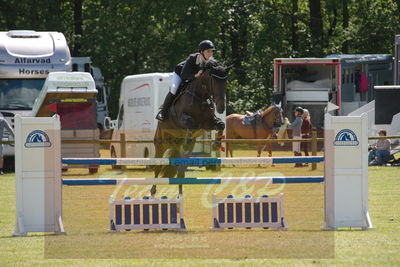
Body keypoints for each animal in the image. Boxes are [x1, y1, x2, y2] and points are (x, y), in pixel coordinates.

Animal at [151, 61, 228, 198]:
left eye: (226, 83)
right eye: (213, 81)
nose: (221, 108)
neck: (201, 97)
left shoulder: (208, 123)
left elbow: (221, 124)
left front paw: (216, 145)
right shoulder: (182, 118)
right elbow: (190, 123)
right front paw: (188, 139)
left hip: (182, 152)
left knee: (181, 171)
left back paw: (180, 195)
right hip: (161, 144)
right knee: (157, 167)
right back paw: (153, 191)